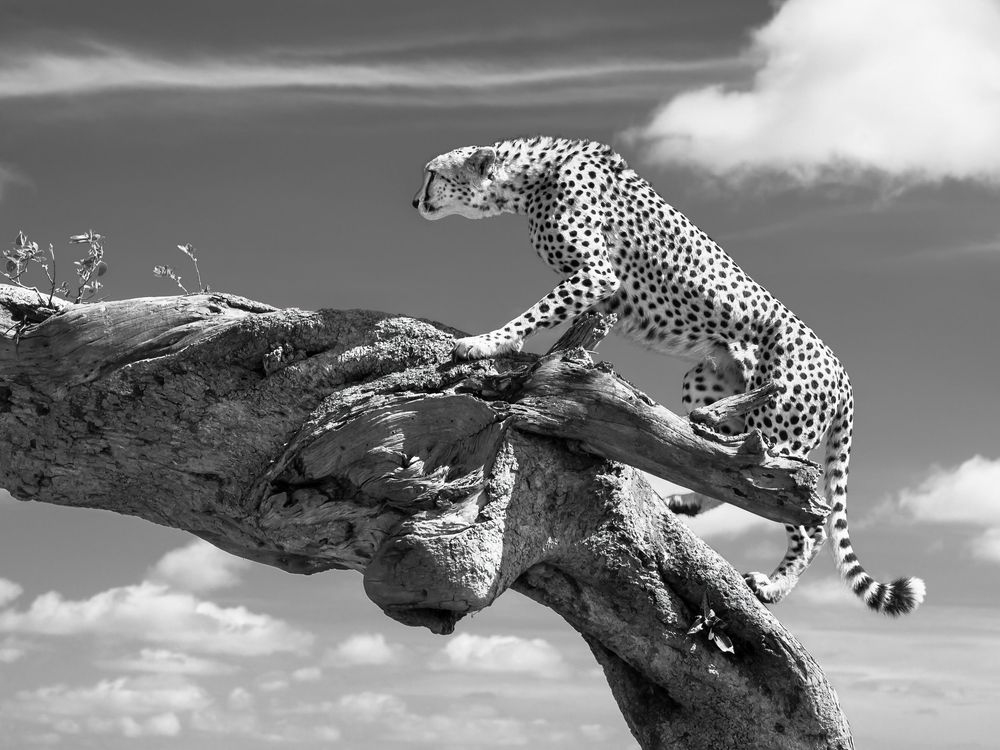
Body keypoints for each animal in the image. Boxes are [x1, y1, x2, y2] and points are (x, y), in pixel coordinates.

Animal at [412, 135, 925, 615]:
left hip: (780, 433)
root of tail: (844, 372)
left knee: (801, 516)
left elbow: (536, 312)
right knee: (725, 465)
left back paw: (773, 586)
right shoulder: (599, 292)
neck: (533, 176)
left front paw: (488, 341)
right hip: (706, 383)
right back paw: (688, 499)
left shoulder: (597, 274)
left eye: (432, 173)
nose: (415, 201)